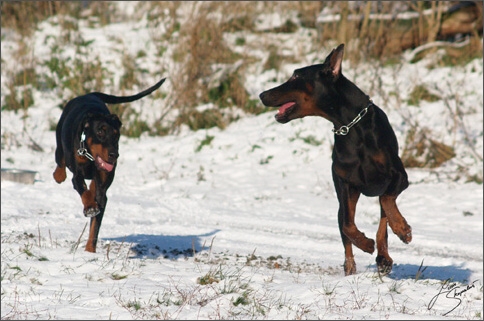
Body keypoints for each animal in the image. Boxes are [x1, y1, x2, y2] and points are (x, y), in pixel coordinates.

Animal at [54, 77, 165, 252]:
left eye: (116, 134)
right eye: (100, 131)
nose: (114, 155)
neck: (91, 156)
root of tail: (89, 94)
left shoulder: (103, 187)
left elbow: (95, 226)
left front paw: (90, 251)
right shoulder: (77, 175)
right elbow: (82, 189)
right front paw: (90, 207)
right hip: (60, 141)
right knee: (60, 161)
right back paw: (59, 175)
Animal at [260, 43, 412, 276]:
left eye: (296, 76)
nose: (261, 94)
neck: (351, 125)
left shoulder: (398, 177)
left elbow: (386, 204)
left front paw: (402, 230)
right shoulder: (345, 184)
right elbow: (348, 225)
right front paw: (365, 243)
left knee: (384, 212)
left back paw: (385, 256)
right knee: (346, 227)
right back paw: (352, 266)